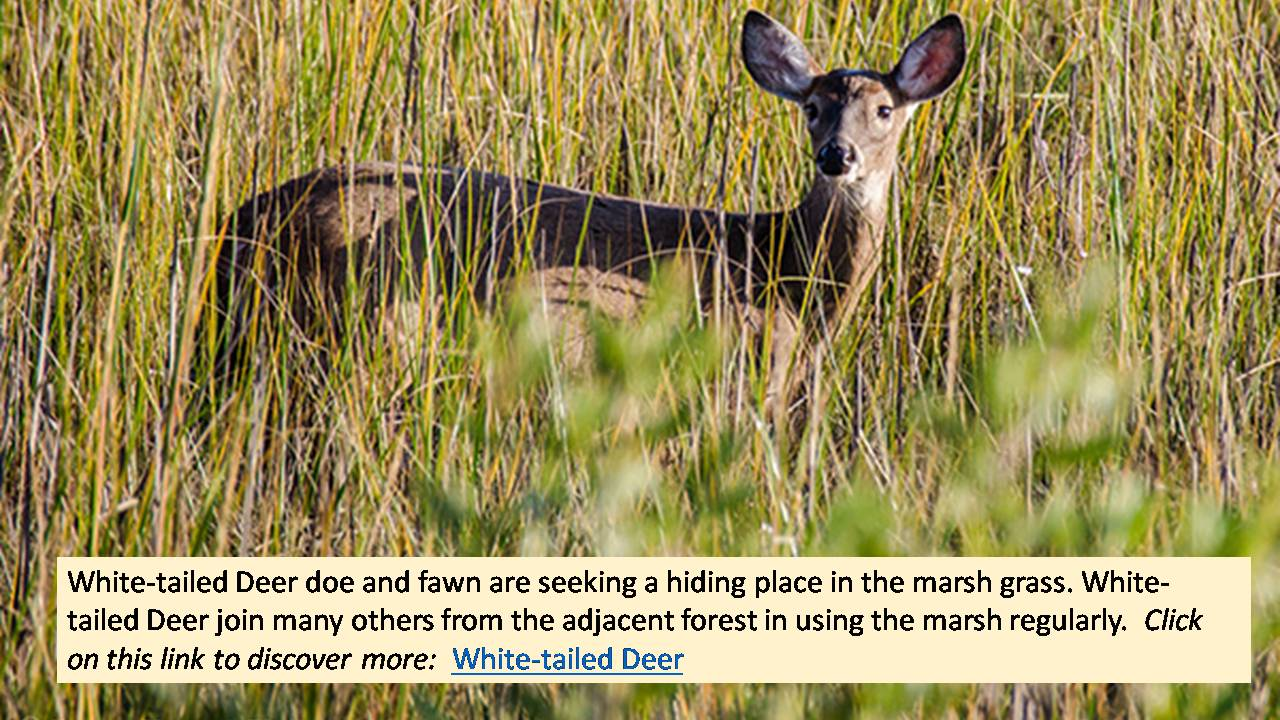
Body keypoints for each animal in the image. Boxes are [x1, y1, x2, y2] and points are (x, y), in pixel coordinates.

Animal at [213, 10, 966, 422]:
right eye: (811, 108)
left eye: (885, 110)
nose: (837, 156)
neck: (783, 274)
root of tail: (243, 222)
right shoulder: (741, 368)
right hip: (363, 326)